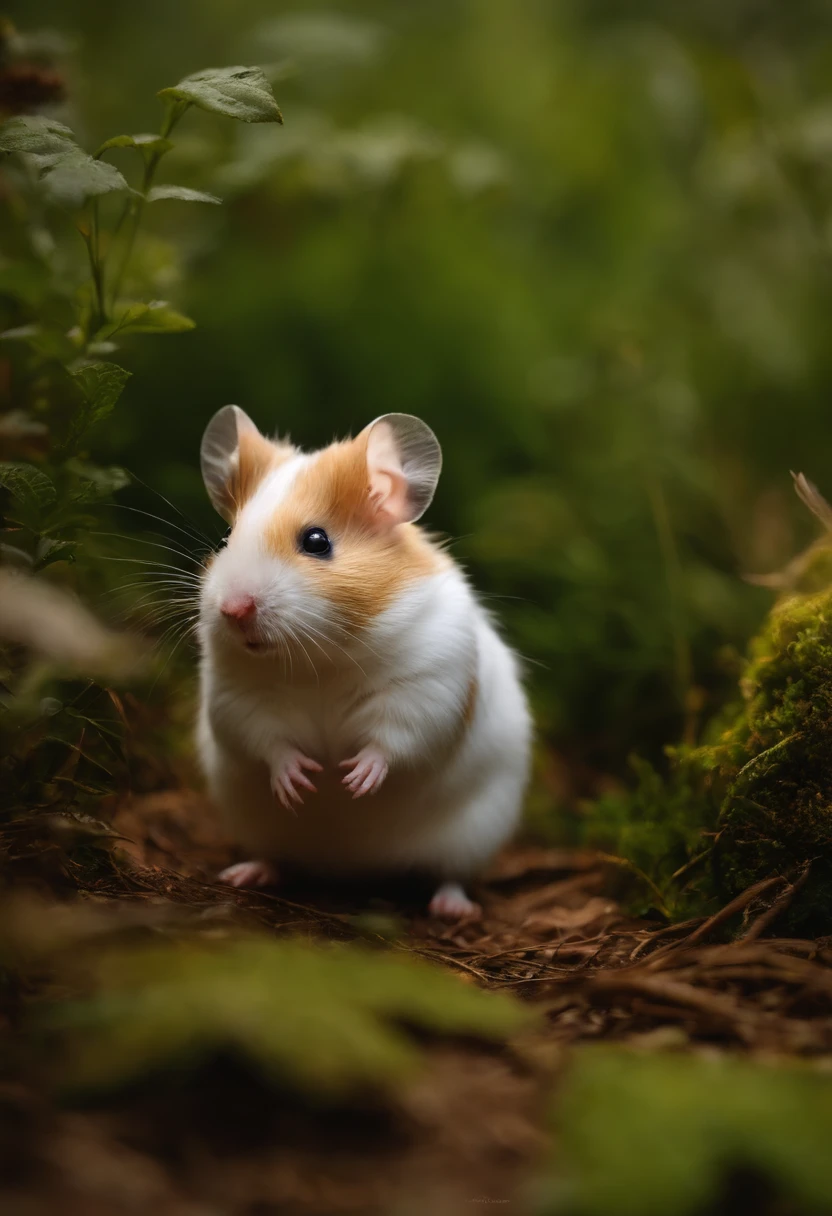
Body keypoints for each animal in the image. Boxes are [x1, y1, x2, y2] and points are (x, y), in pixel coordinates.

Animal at [195, 408, 532, 919]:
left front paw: (352, 780)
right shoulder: (236, 695)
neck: (319, 657)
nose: (233, 610)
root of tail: (349, 868)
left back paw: (453, 909)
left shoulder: (428, 685)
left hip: (473, 834)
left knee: (450, 875)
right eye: (226, 537)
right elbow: (266, 740)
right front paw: (303, 781)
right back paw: (244, 874)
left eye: (316, 541)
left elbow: (393, 740)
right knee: (274, 856)